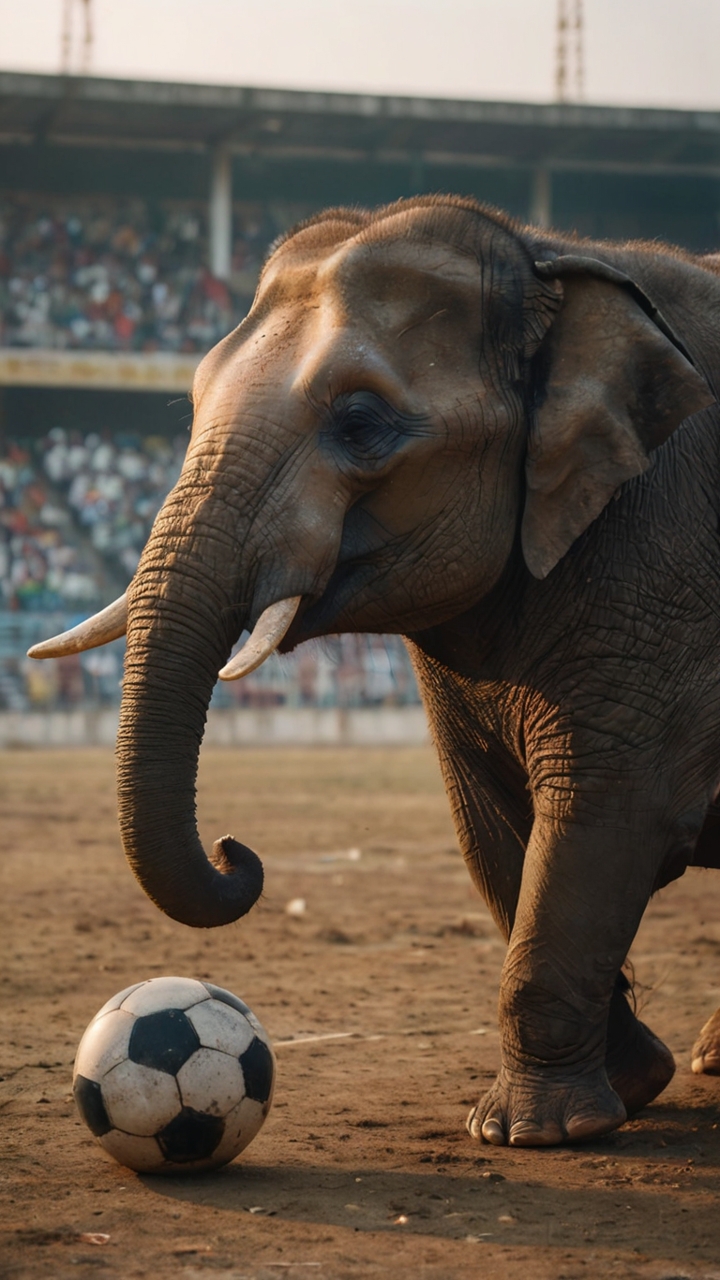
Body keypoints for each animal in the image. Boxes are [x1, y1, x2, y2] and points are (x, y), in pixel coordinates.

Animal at [30, 194, 720, 1148]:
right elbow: (495, 831)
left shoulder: (663, 564)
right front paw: (626, 1089)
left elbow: (602, 814)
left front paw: (534, 1133)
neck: (546, 255)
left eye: (360, 425)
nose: (236, 851)